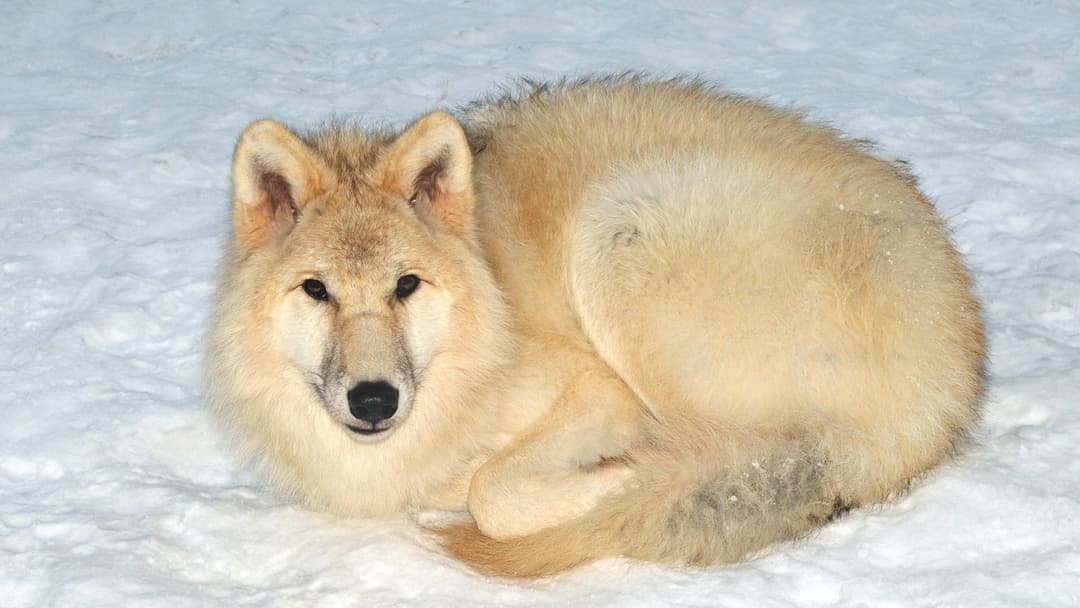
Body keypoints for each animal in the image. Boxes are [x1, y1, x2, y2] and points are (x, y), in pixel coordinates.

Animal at [205, 76, 986, 577]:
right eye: (317, 290)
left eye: (406, 285)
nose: (373, 400)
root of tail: (947, 386)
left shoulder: (594, 386)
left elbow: (492, 490)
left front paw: (605, 475)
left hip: (622, 226)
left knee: (733, 455)